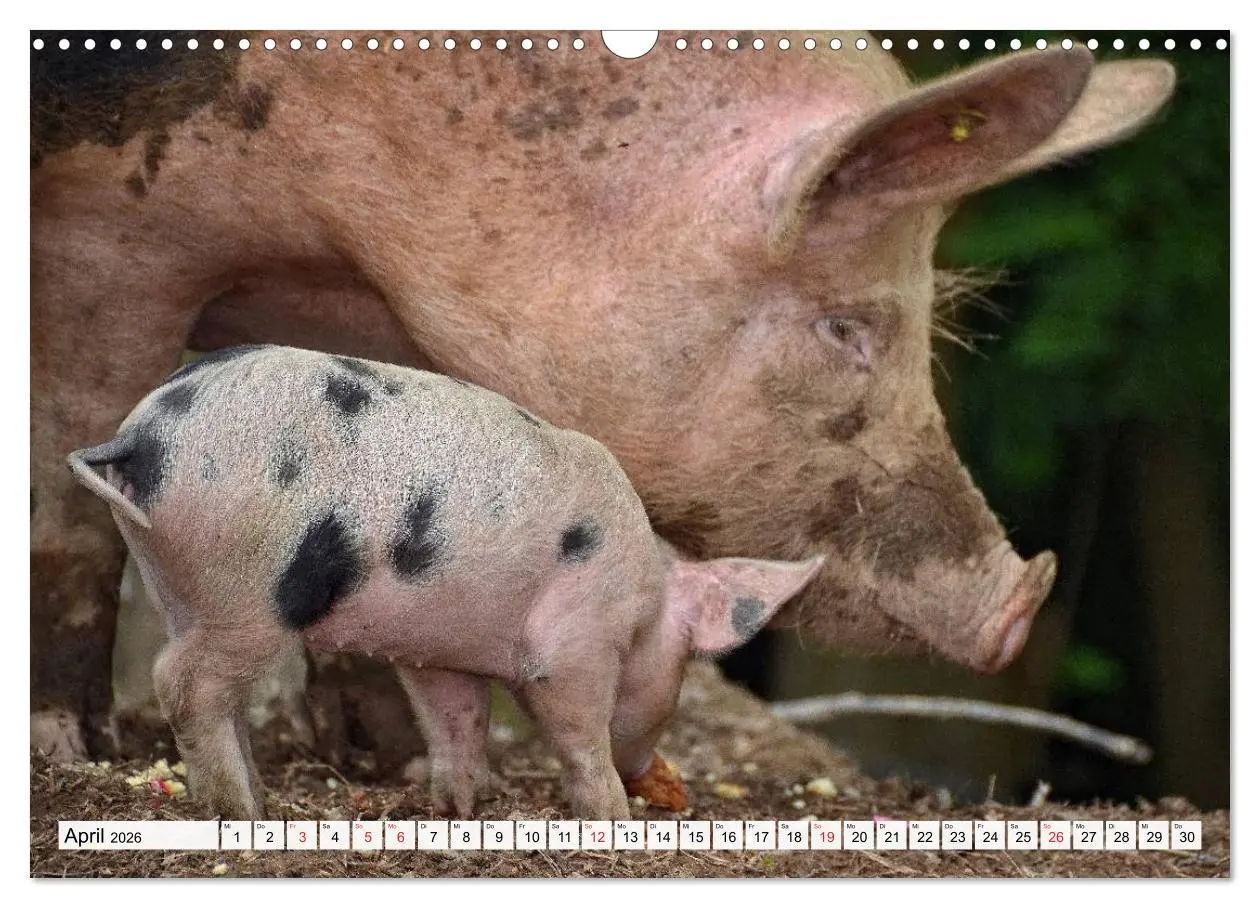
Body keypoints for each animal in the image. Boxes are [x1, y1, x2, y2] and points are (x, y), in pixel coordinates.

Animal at [31, 31, 1175, 760]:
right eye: (846, 327)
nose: (1018, 603)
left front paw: (395, 764)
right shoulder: (108, 230)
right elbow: (64, 488)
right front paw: (71, 750)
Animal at [67, 345, 823, 818]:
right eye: (687, 667)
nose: (648, 778)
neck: (646, 597)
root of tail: (143, 436)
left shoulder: (439, 649)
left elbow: (457, 718)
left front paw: (463, 806)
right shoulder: (576, 641)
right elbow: (575, 726)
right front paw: (612, 818)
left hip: (172, 576)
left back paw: (251, 793)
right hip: (247, 588)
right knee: (181, 680)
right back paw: (244, 809)